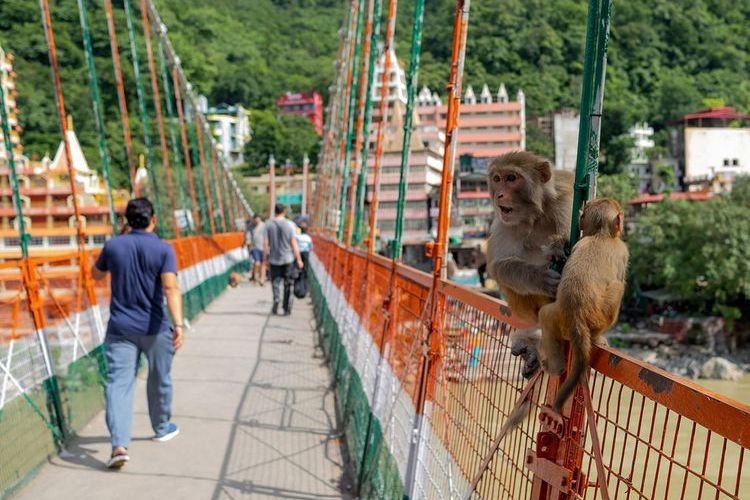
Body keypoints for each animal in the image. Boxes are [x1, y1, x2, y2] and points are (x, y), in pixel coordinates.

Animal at [488, 150, 576, 376]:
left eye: (511, 178)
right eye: (497, 179)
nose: (499, 195)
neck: (535, 214)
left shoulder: (565, 202)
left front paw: (559, 247)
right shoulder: (505, 223)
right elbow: (499, 265)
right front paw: (539, 278)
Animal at [540, 197, 628, 412]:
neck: (600, 236)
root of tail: (576, 317)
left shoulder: (578, 244)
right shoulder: (623, 251)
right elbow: (620, 278)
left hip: (559, 318)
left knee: (545, 316)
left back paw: (556, 367)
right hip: (598, 318)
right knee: (618, 287)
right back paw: (597, 338)